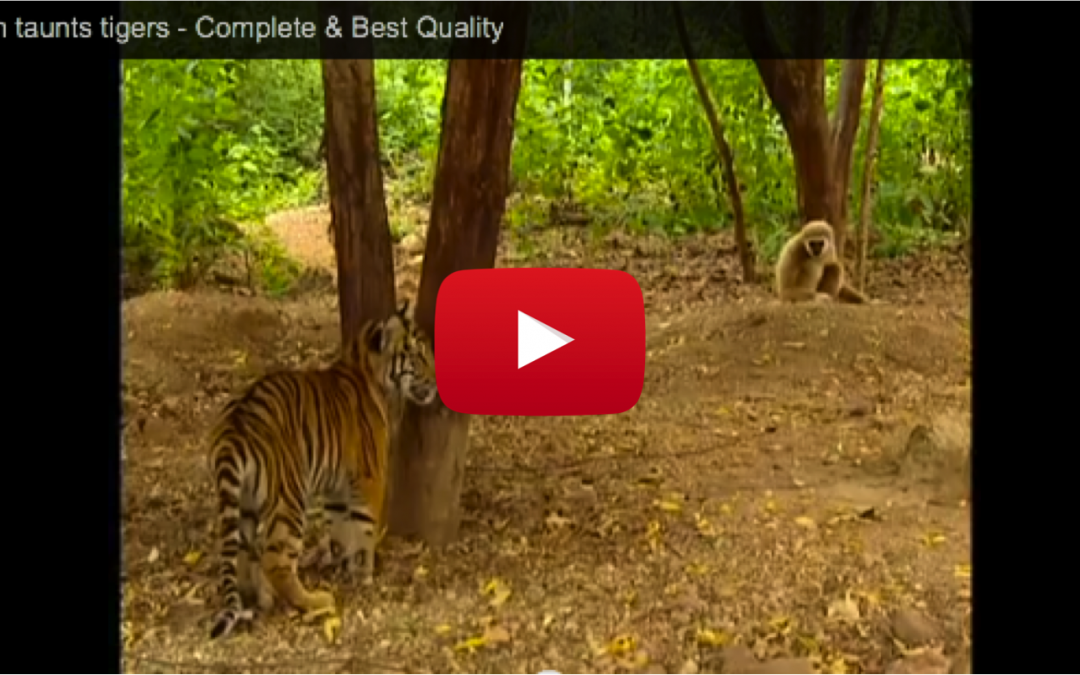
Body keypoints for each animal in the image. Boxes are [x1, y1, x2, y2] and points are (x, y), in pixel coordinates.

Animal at [207, 301, 437, 639]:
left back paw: (263, 599)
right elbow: (365, 527)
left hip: (245, 502)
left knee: (247, 552)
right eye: (419, 355)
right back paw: (314, 600)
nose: (435, 383)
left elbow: (340, 527)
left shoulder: (337, 485)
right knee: (275, 560)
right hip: (289, 496)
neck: (367, 366)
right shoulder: (370, 476)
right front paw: (364, 575)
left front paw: (341, 563)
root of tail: (234, 427)